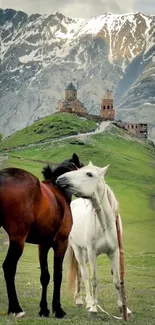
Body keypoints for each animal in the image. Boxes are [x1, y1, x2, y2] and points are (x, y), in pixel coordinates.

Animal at [0, 152, 83, 316]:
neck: (58, 192)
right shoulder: (61, 243)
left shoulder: (43, 245)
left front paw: (44, 309)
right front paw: (58, 308)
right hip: (18, 240)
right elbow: (58, 275)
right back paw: (15, 308)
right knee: (9, 267)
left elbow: (45, 276)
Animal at [56, 163, 131, 316]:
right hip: (79, 250)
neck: (105, 225)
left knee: (80, 273)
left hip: (84, 254)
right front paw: (94, 308)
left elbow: (117, 280)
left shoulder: (114, 252)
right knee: (83, 274)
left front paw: (123, 307)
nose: (60, 179)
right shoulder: (92, 253)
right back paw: (86, 301)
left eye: (89, 174)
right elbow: (94, 279)